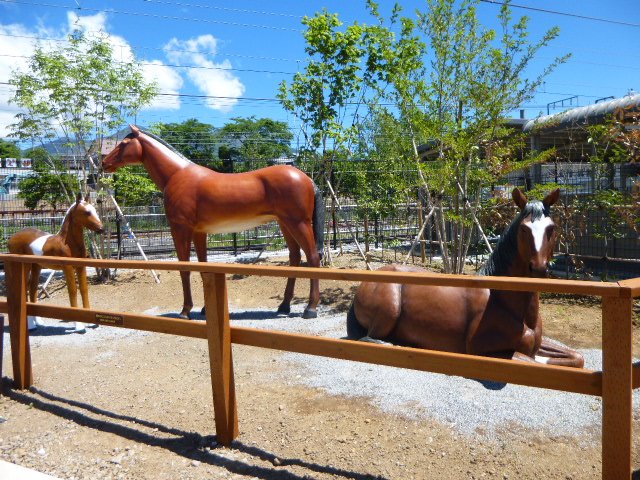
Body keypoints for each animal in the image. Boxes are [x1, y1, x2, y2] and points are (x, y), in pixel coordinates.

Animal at [8, 194, 105, 333]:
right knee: (25, 289)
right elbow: (72, 291)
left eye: (95, 210)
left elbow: (84, 289)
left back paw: (38, 322)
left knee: (33, 289)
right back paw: (30, 325)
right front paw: (79, 325)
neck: (67, 243)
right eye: (87, 212)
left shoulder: (81, 267)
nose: (101, 229)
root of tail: (11, 238)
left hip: (36, 266)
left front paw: (90, 320)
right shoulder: (67, 268)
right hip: (25, 267)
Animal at [102, 125, 325, 320]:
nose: (104, 163)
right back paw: (284, 305)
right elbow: (204, 268)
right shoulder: (199, 232)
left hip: (298, 223)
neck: (177, 175)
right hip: (285, 224)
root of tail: (307, 178)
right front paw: (204, 310)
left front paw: (185, 311)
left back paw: (310, 308)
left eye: (123, 143)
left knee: (313, 257)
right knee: (295, 258)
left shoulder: (180, 229)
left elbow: (185, 268)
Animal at [347, 187, 584, 368]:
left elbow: (577, 357)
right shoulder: (482, 351)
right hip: (389, 310)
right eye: (524, 229)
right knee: (369, 338)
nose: (538, 269)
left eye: (551, 228)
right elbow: (536, 363)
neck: (502, 301)